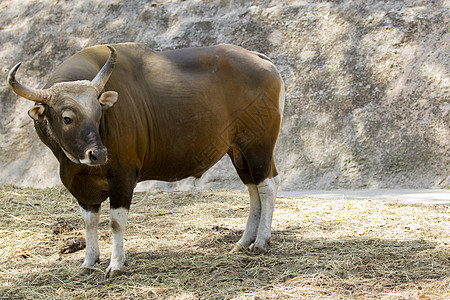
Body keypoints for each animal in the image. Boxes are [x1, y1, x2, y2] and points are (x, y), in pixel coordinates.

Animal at [7, 42, 284, 278]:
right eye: (67, 118)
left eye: (98, 113)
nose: (99, 154)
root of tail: (262, 60)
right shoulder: (80, 186)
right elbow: (89, 222)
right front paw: (88, 261)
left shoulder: (123, 177)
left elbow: (115, 222)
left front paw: (116, 264)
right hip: (238, 151)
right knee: (253, 190)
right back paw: (244, 241)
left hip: (258, 145)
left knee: (267, 186)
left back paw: (261, 241)